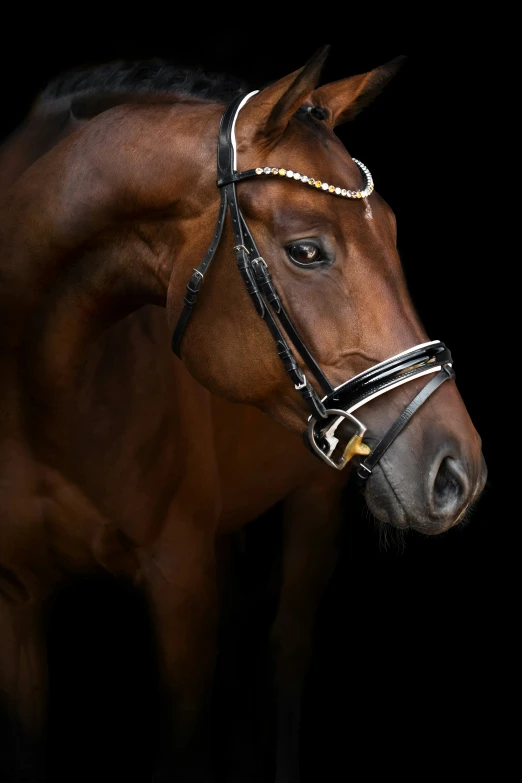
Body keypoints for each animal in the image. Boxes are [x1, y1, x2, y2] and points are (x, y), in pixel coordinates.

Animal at [0, 50, 484, 783]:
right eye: (307, 250)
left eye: (395, 232)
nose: (458, 471)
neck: (43, 394)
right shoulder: (18, 601)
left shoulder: (180, 584)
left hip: (313, 503)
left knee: (285, 654)